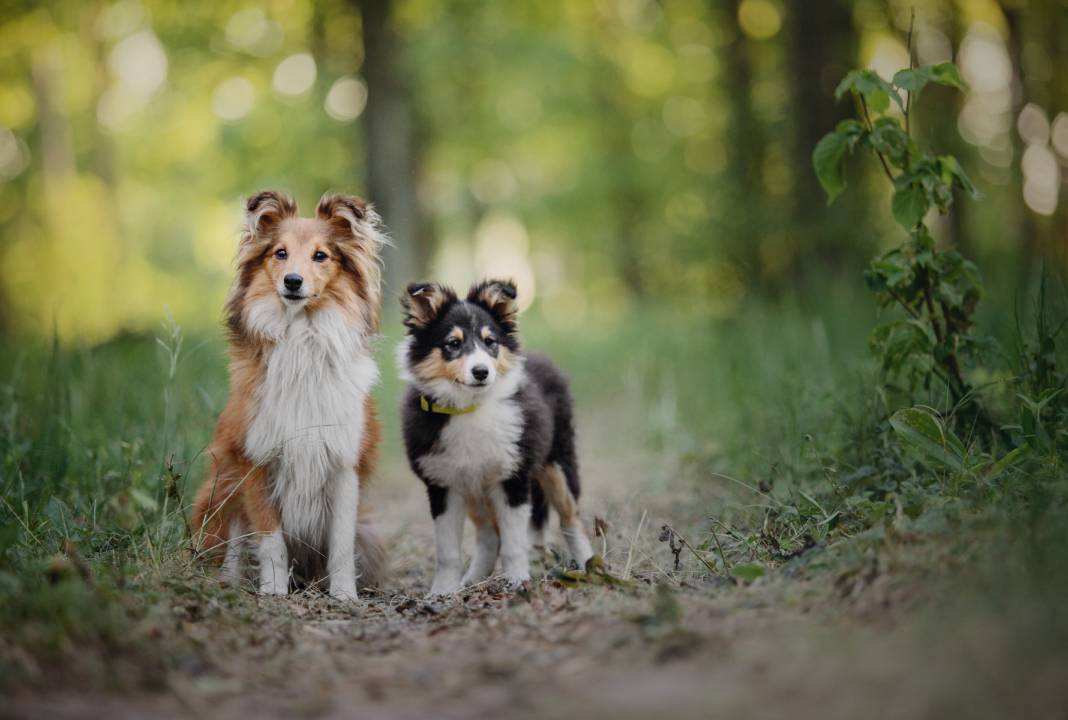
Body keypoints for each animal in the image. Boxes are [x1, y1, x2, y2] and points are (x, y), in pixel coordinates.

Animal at [193, 188, 388, 598]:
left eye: (321, 255)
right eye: (279, 253)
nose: (293, 281)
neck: (303, 339)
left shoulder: (344, 464)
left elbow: (341, 542)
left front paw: (344, 594)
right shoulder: (255, 460)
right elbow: (270, 540)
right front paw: (273, 590)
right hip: (220, 488)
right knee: (233, 542)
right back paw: (231, 581)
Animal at [399, 277, 598, 589]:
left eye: (490, 342)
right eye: (453, 344)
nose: (481, 372)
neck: (470, 409)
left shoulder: (513, 477)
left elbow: (515, 543)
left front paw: (518, 582)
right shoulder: (443, 484)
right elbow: (447, 550)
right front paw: (442, 591)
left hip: (557, 463)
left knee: (571, 519)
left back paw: (588, 565)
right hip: (475, 487)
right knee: (488, 536)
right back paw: (473, 578)